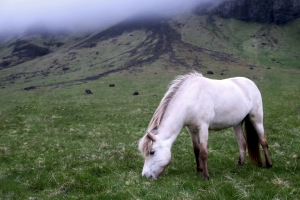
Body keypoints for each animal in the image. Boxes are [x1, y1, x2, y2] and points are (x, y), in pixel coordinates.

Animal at [139, 72, 274, 180]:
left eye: (152, 152)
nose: (145, 176)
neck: (191, 98)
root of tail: (250, 83)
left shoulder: (203, 127)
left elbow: (203, 152)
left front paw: (206, 176)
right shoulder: (191, 130)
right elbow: (196, 150)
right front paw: (199, 170)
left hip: (256, 119)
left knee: (263, 141)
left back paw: (269, 165)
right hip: (236, 124)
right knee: (242, 143)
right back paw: (240, 165)